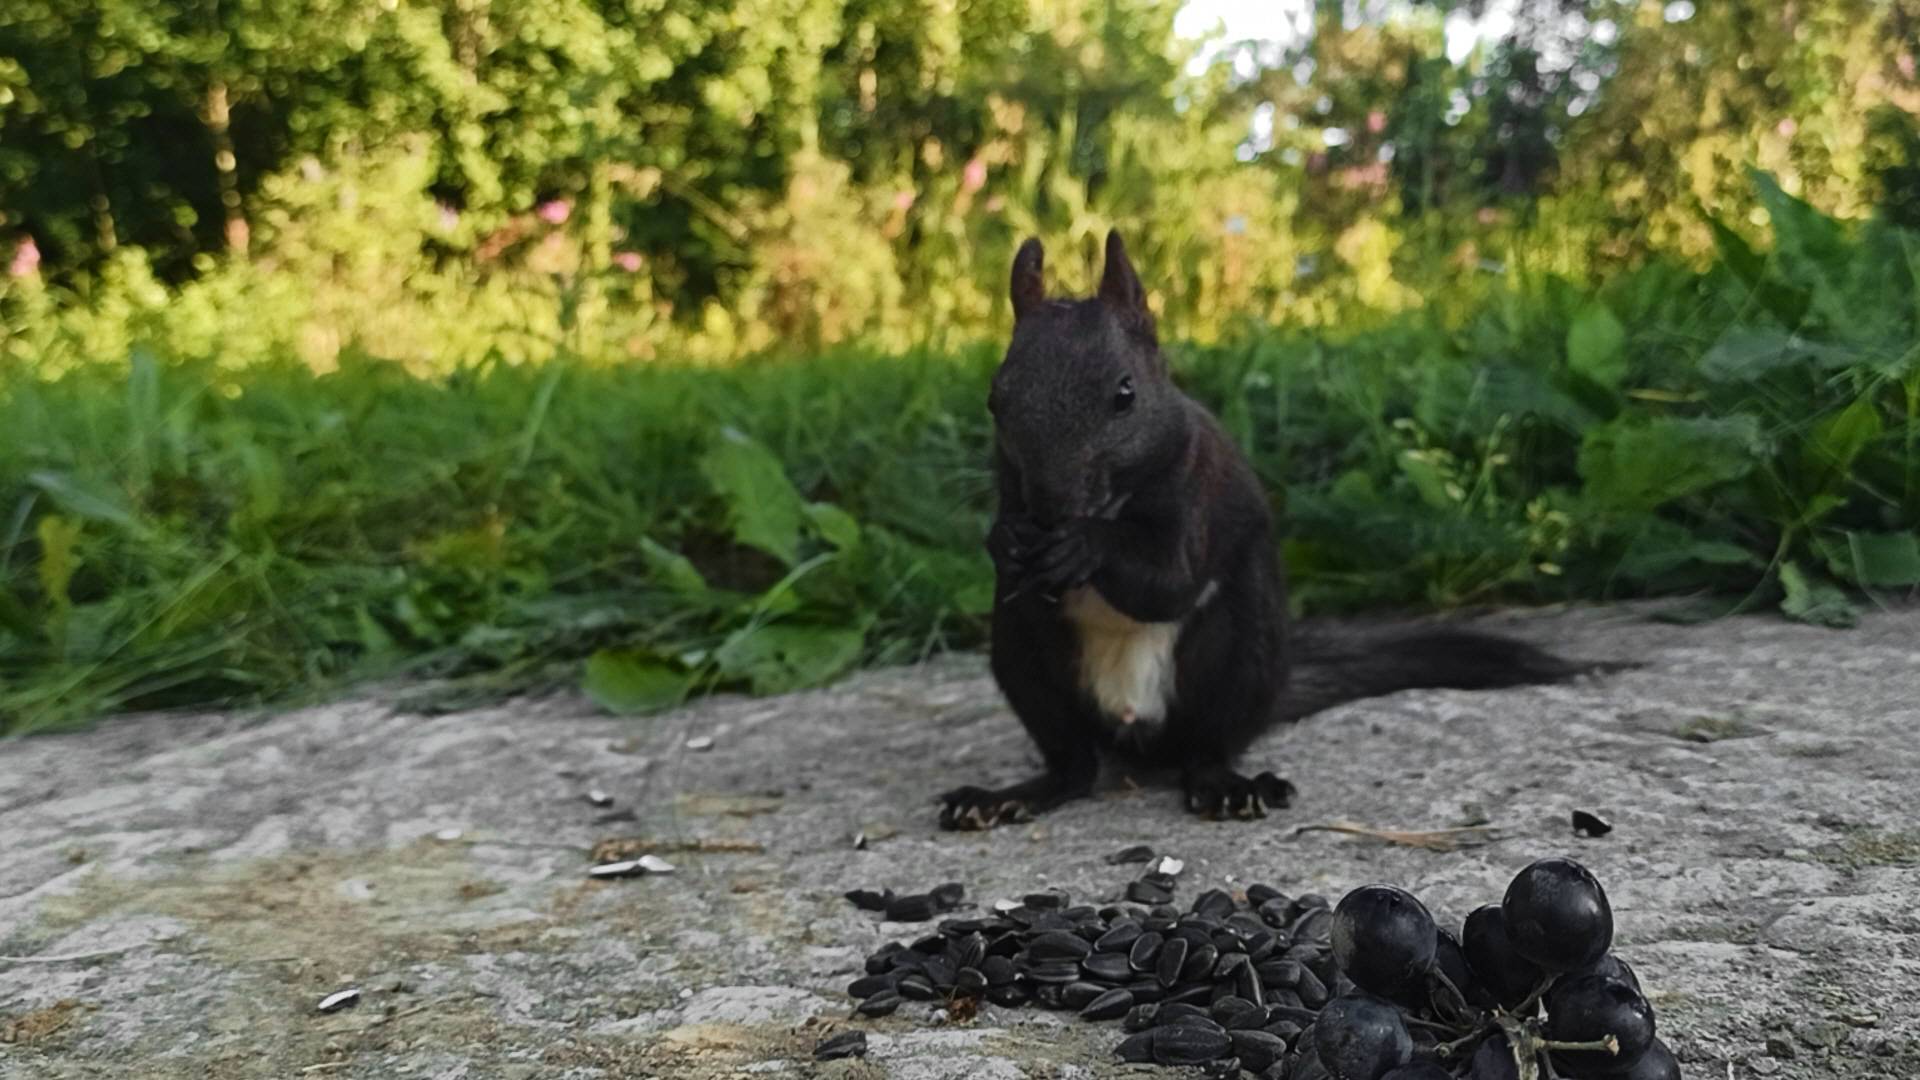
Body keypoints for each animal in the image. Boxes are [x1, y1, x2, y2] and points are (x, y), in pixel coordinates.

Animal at [936, 231, 1628, 826]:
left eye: (1125, 394)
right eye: (996, 399)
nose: (1049, 505)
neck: (1105, 504)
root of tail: (1136, 732)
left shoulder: (1198, 491)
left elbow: (1167, 582)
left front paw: (1083, 546)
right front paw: (1004, 542)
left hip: (1242, 657)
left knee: (1207, 747)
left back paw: (1227, 786)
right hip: (1025, 662)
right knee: (1073, 765)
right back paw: (1009, 796)